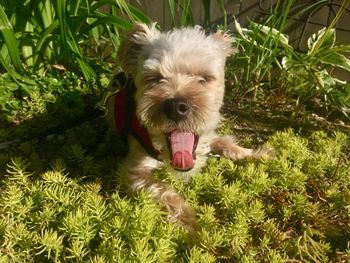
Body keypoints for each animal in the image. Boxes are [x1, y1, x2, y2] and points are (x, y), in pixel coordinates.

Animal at [104, 23, 274, 233]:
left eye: (205, 78)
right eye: (155, 78)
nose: (176, 106)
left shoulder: (208, 135)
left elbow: (228, 144)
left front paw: (258, 154)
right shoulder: (134, 170)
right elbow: (165, 191)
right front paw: (194, 228)